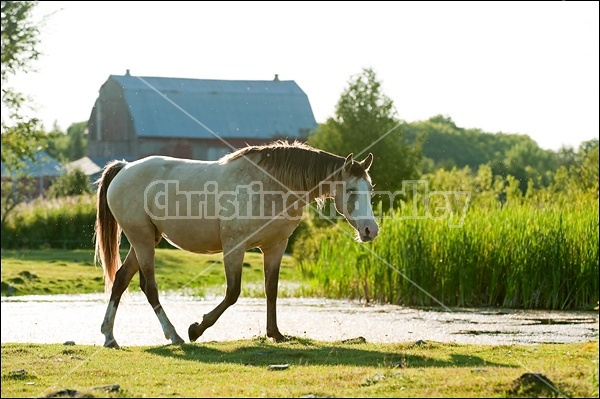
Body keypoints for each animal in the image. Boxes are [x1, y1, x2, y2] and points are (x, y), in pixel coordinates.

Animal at [95, 141, 380, 350]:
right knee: (149, 287)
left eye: (371, 191)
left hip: (145, 240)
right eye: (352, 191)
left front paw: (275, 334)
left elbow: (271, 290)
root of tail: (124, 168)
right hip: (142, 240)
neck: (270, 185)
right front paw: (197, 329)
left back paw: (109, 337)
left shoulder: (275, 247)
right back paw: (174, 335)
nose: (371, 230)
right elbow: (233, 293)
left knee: (121, 280)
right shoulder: (235, 247)